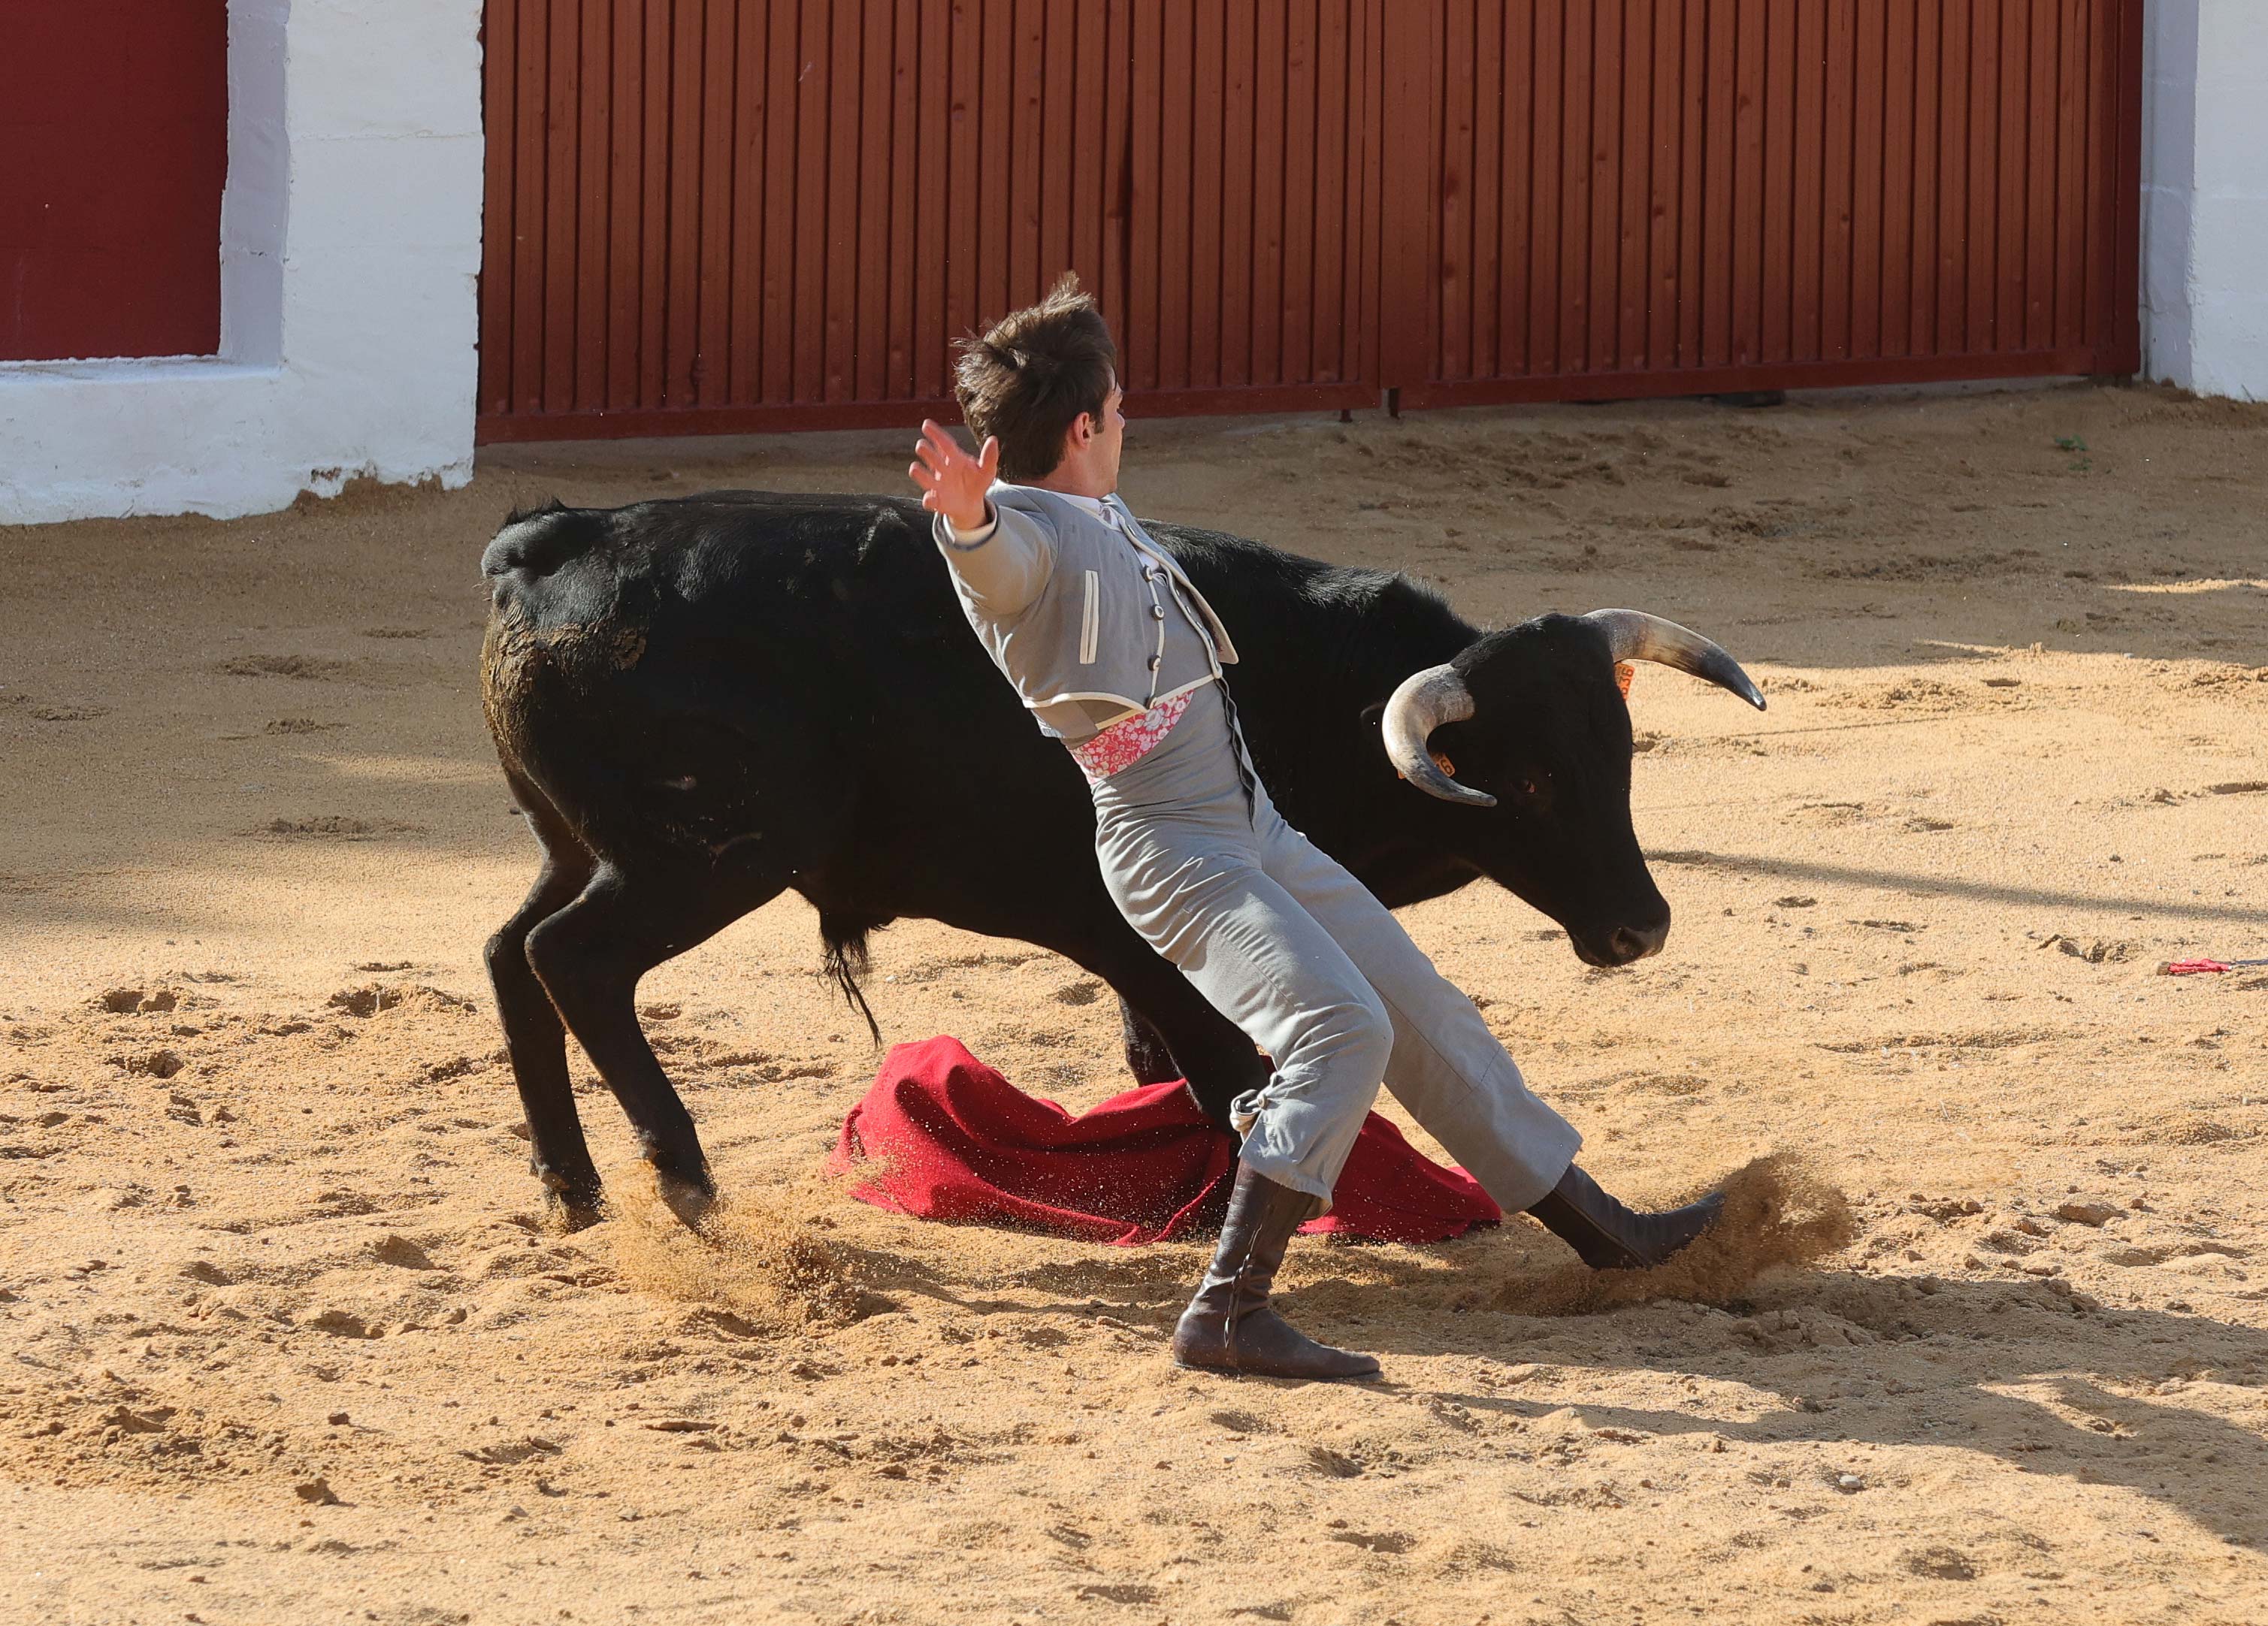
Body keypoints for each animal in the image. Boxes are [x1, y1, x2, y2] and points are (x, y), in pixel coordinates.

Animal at [473, 487, 1750, 1224]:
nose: (1640, 927)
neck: (1302, 689)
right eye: (1525, 781)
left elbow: (1166, 1062)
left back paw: (574, 1189)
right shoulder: (1151, 943)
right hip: (706, 858)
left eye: (1618, 760)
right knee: (575, 961)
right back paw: (684, 1185)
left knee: (508, 953)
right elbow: (1221, 1072)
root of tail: (555, 540)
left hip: (580, 844)